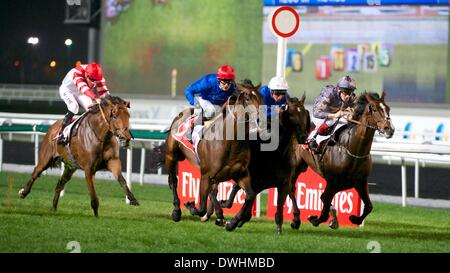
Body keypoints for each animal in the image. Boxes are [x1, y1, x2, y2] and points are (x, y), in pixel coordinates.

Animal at [158, 84, 264, 224]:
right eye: (247, 99)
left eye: (261, 98)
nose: (260, 118)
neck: (231, 141)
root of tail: (180, 115)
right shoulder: (206, 174)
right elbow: (202, 206)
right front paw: (192, 207)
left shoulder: (239, 173)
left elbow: (249, 194)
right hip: (171, 156)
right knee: (173, 181)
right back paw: (177, 211)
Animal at [296, 92, 394, 226]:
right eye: (374, 109)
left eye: (388, 109)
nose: (390, 129)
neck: (351, 149)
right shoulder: (333, 181)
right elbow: (325, 199)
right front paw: (315, 219)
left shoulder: (360, 181)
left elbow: (369, 206)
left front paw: (354, 219)